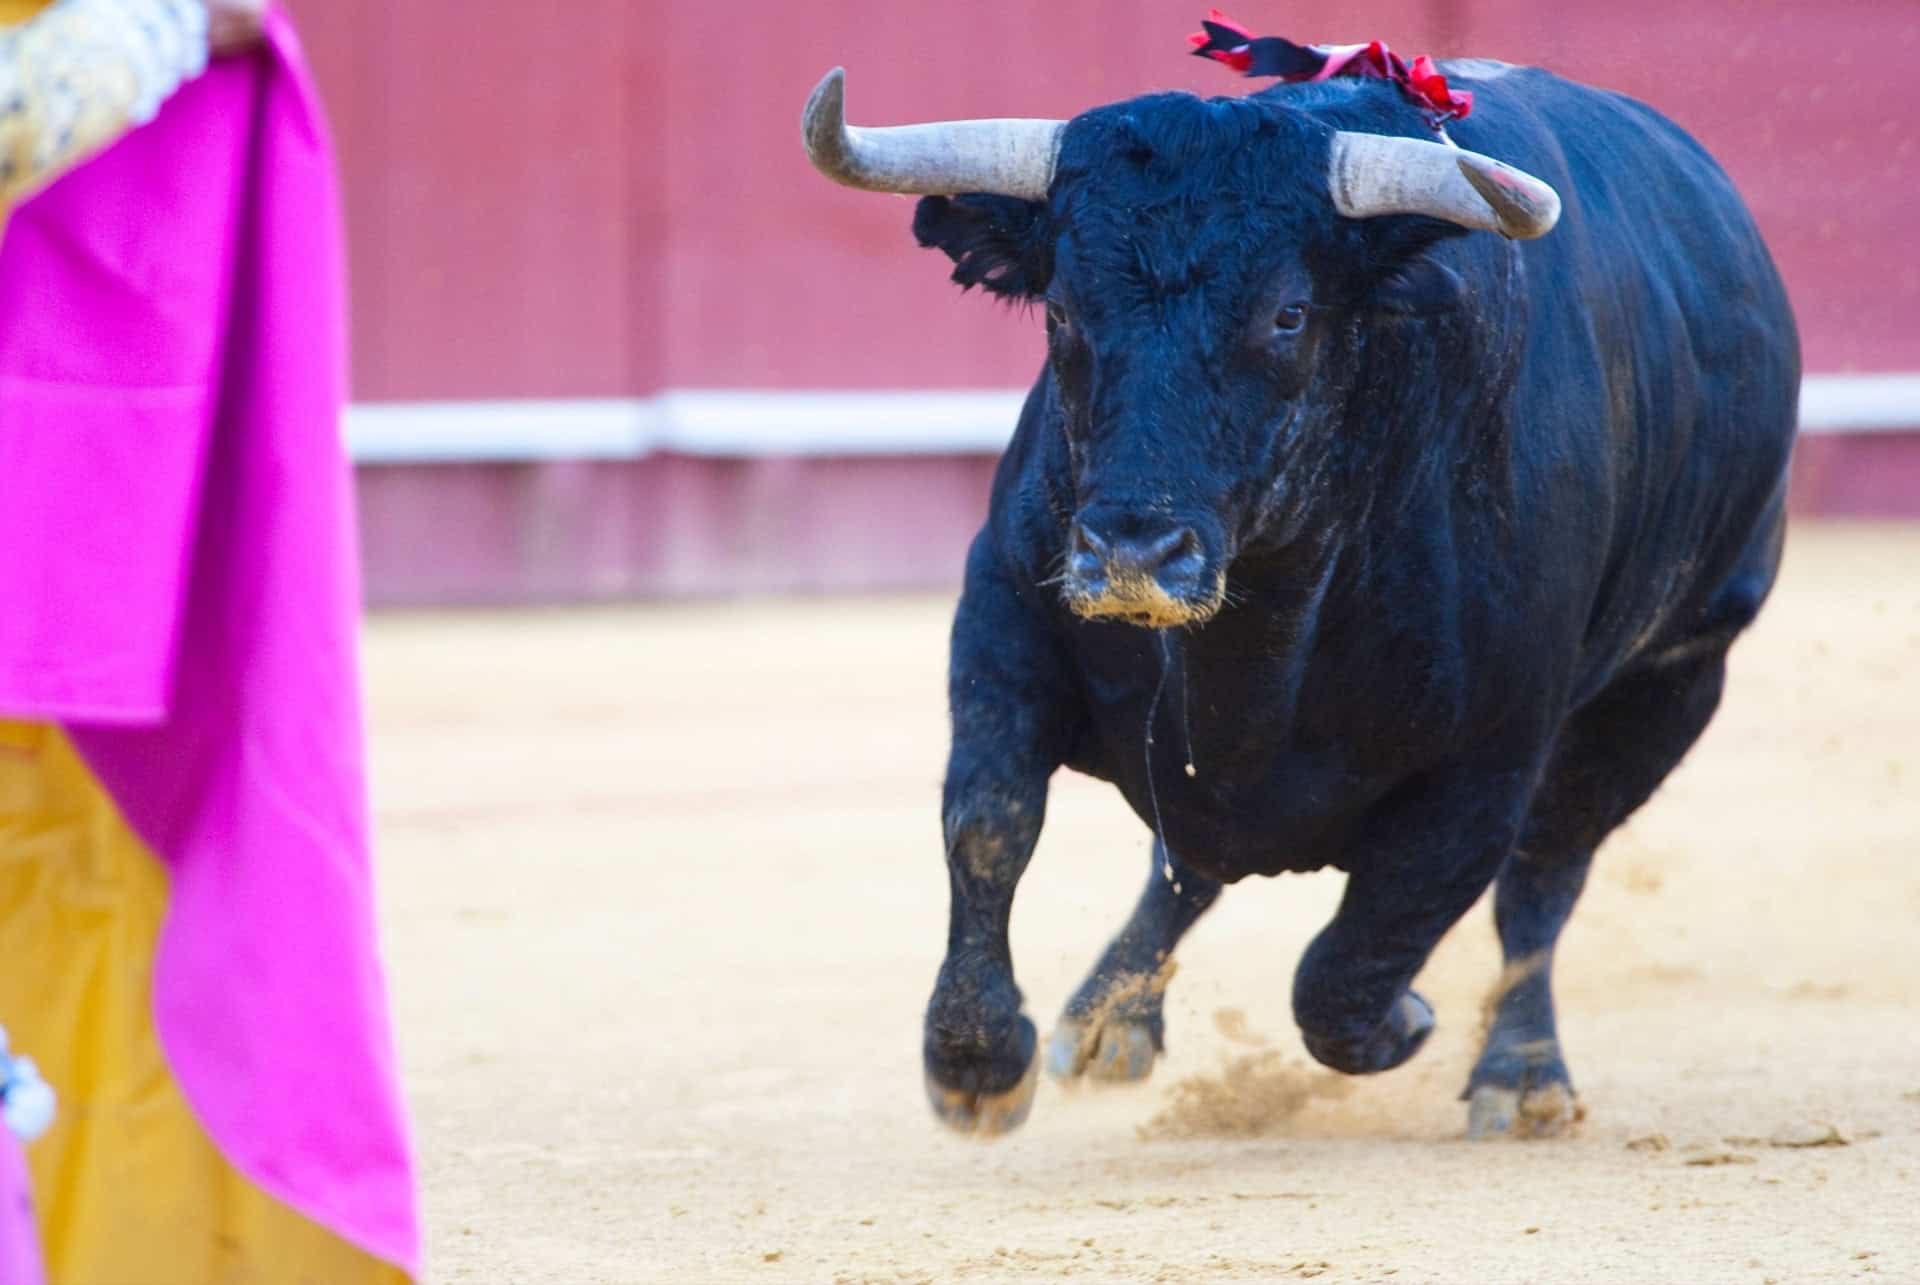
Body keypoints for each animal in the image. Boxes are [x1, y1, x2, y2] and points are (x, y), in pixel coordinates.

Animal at [798, 55, 1797, 1137]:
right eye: (1061, 312)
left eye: (1288, 314)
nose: (1132, 552)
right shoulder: (1005, 622)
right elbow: (989, 820)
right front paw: (975, 1065)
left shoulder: (1491, 762)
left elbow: (1358, 957)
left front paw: (1409, 1021)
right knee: (1189, 860)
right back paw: (1106, 1022)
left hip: (1676, 677)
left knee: (1547, 872)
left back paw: (1521, 1074)